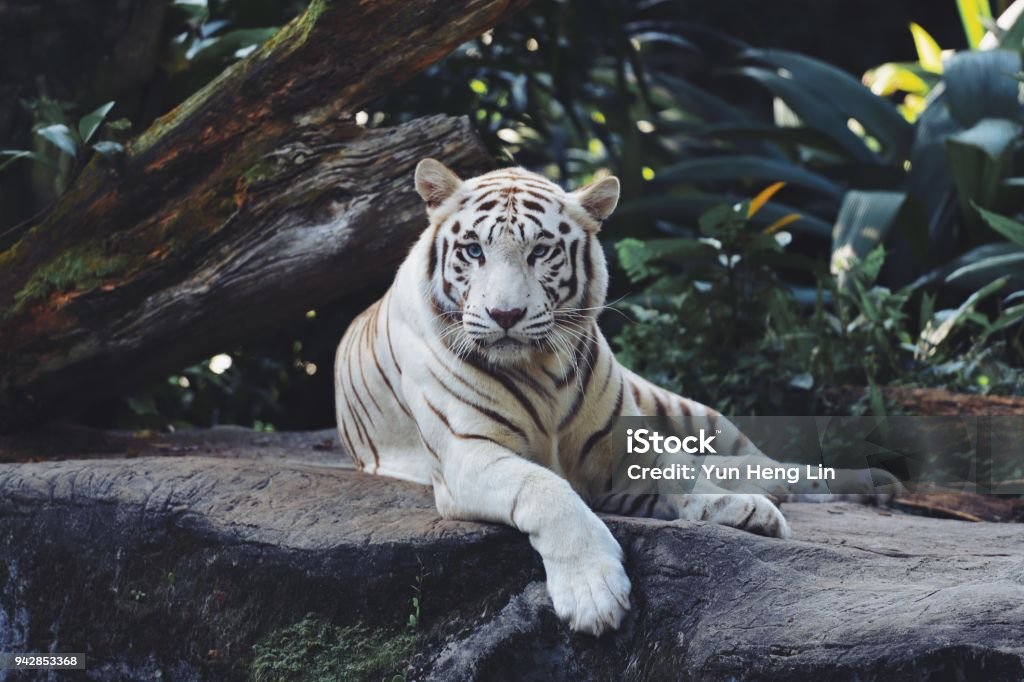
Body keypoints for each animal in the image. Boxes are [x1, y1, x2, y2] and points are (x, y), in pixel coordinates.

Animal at [333, 157, 888, 630]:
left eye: (539, 251)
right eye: (474, 251)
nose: (505, 315)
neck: (541, 369)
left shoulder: (624, 441)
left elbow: (677, 471)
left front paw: (738, 509)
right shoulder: (466, 455)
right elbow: (546, 489)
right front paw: (593, 594)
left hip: (682, 407)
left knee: (757, 457)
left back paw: (867, 482)